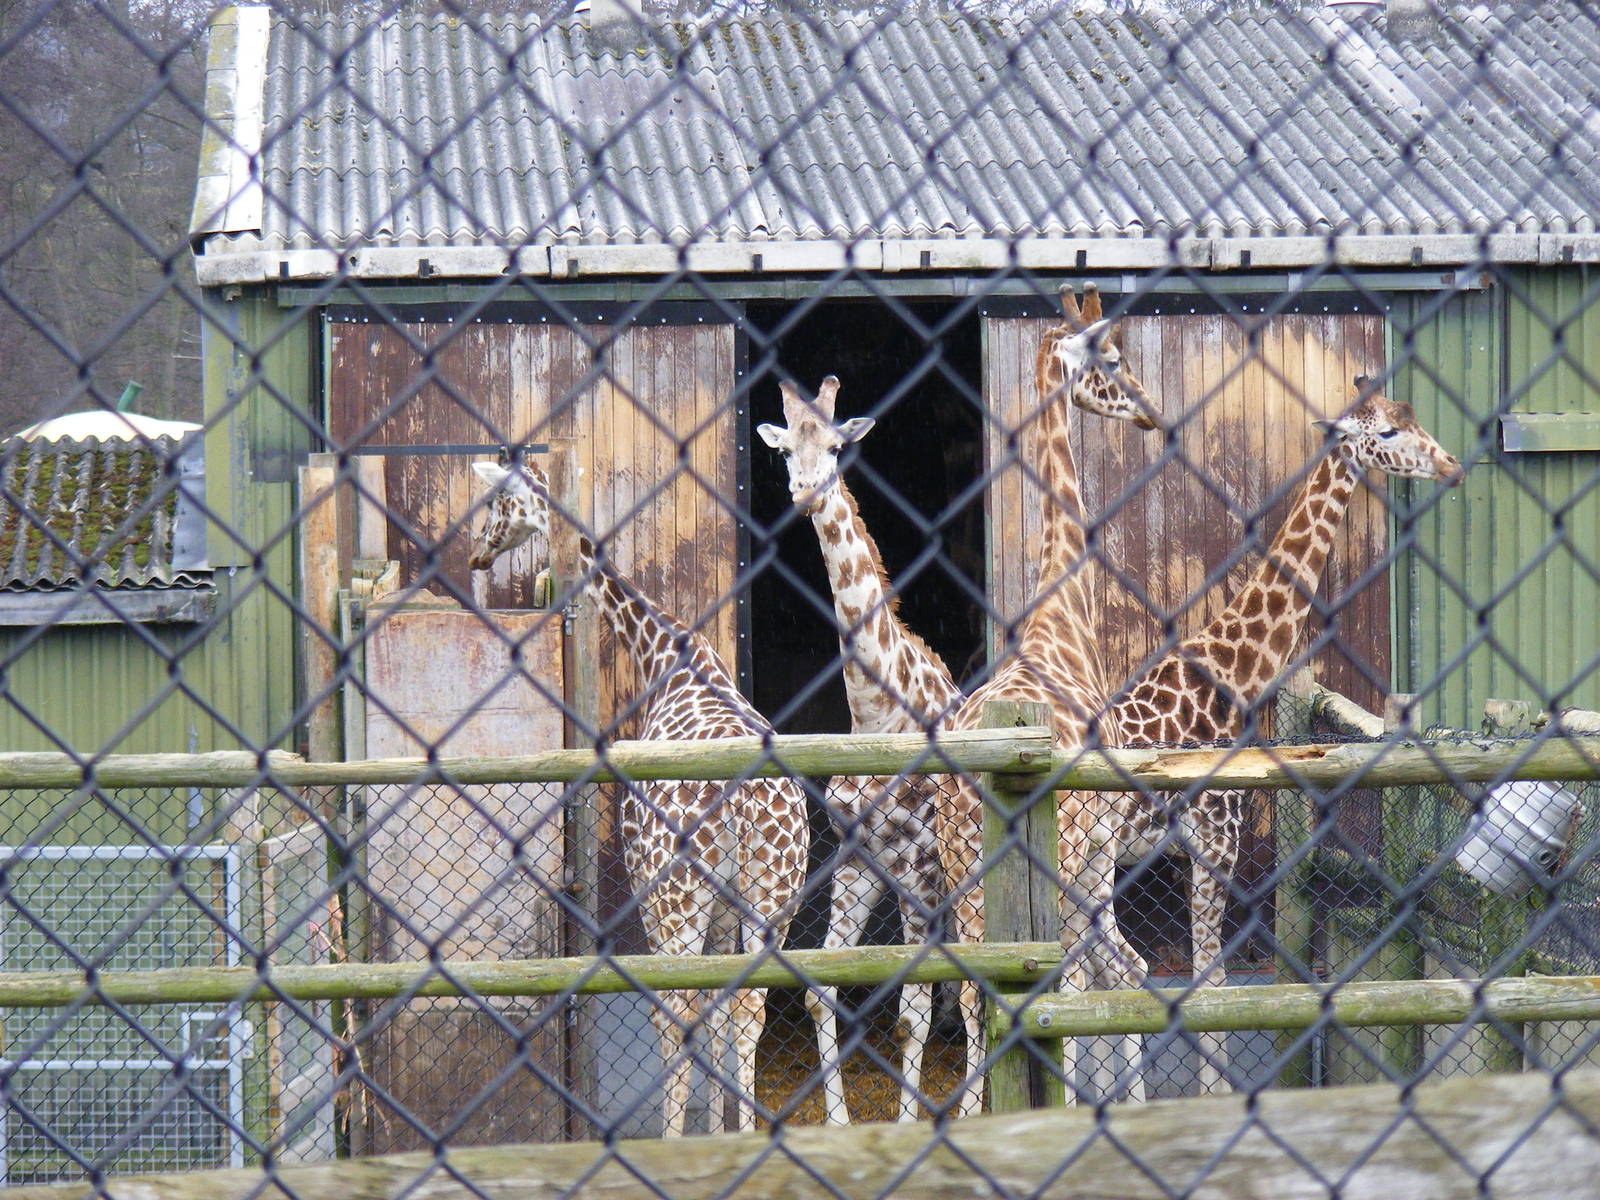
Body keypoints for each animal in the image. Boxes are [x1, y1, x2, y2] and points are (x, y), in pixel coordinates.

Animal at [468, 459, 809, 1137]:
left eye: (495, 502)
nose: (475, 554)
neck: (661, 656)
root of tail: (747, 805)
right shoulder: (728, 906)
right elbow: (722, 1010)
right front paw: (725, 1132)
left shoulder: (648, 881)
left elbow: (683, 1009)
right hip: (775, 894)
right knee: (748, 1005)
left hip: (674, 895)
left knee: (676, 1008)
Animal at [756, 375, 963, 1123]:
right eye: (787, 449)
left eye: (837, 446)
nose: (805, 492)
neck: (875, 714)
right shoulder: (856, 861)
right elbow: (822, 989)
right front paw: (839, 1120)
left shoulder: (918, 864)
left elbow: (911, 1009)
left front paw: (908, 1121)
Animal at [938, 284, 1161, 1115]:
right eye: (1114, 357)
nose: (1149, 412)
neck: (1061, 619)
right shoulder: (1101, 845)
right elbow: (1103, 979)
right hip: (1058, 860)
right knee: (1075, 976)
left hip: (964, 868)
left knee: (980, 986)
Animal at [1110, 377, 1463, 1091]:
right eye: (1387, 431)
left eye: (1412, 414)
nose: (1450, 466)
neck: (1228, 673)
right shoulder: (1216, 841)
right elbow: (1209, 982)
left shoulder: (1192, 851)